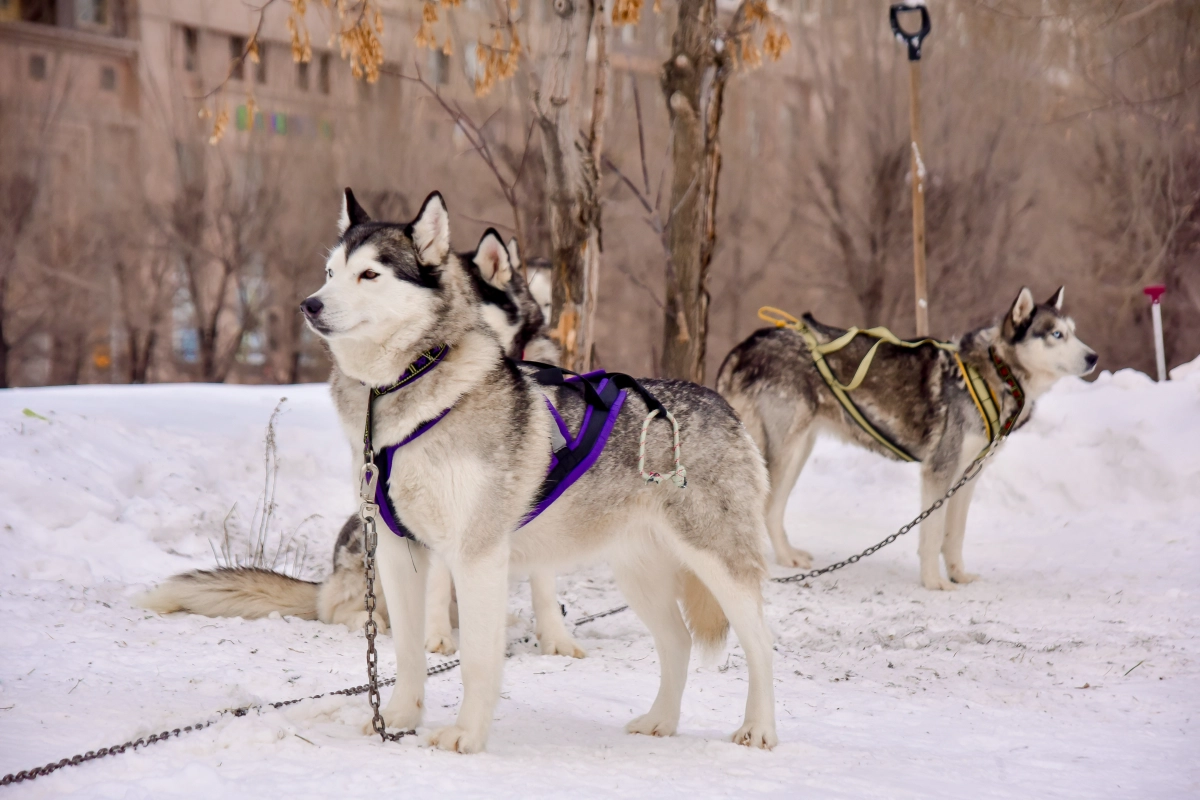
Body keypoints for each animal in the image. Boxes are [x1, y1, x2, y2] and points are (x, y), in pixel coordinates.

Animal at [297, 190, 768, 753]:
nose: (310, 304)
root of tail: (721, 404)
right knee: (677, 642)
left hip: (719, 563)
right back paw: (661, 721)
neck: (406, 385)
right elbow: (408, 653)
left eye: (369, 274)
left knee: (762, 645)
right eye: (330, 272)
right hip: (638, 574)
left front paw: (466, 736)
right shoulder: (398, 551)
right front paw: (399, 718)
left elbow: (477, 661)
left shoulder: (476, 555)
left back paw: (759, 729)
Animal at [715, 287, 1099, 587]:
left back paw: (786, 556)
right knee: (766, 507)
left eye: (1074, 332)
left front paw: (958, 576)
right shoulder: (939, 472)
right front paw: (934, 583)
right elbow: (932, 536)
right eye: (1055, 334)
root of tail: (744, 346)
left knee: (773, 510)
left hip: (799, 450)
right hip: (786, 450)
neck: (995, 372)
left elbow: (954, 536)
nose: (1094, 356)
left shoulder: (968, 477)